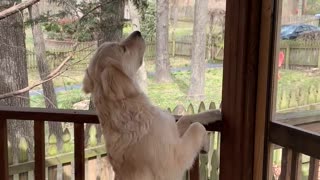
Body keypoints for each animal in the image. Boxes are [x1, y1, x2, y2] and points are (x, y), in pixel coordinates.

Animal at [81, 31, 221, 180]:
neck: (131, 108)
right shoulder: (173, 163)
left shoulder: (171, 132)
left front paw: (213, 113)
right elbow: (196, 127)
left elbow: (186, 118)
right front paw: (206, 143)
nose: (137, 32)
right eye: (123, 49)